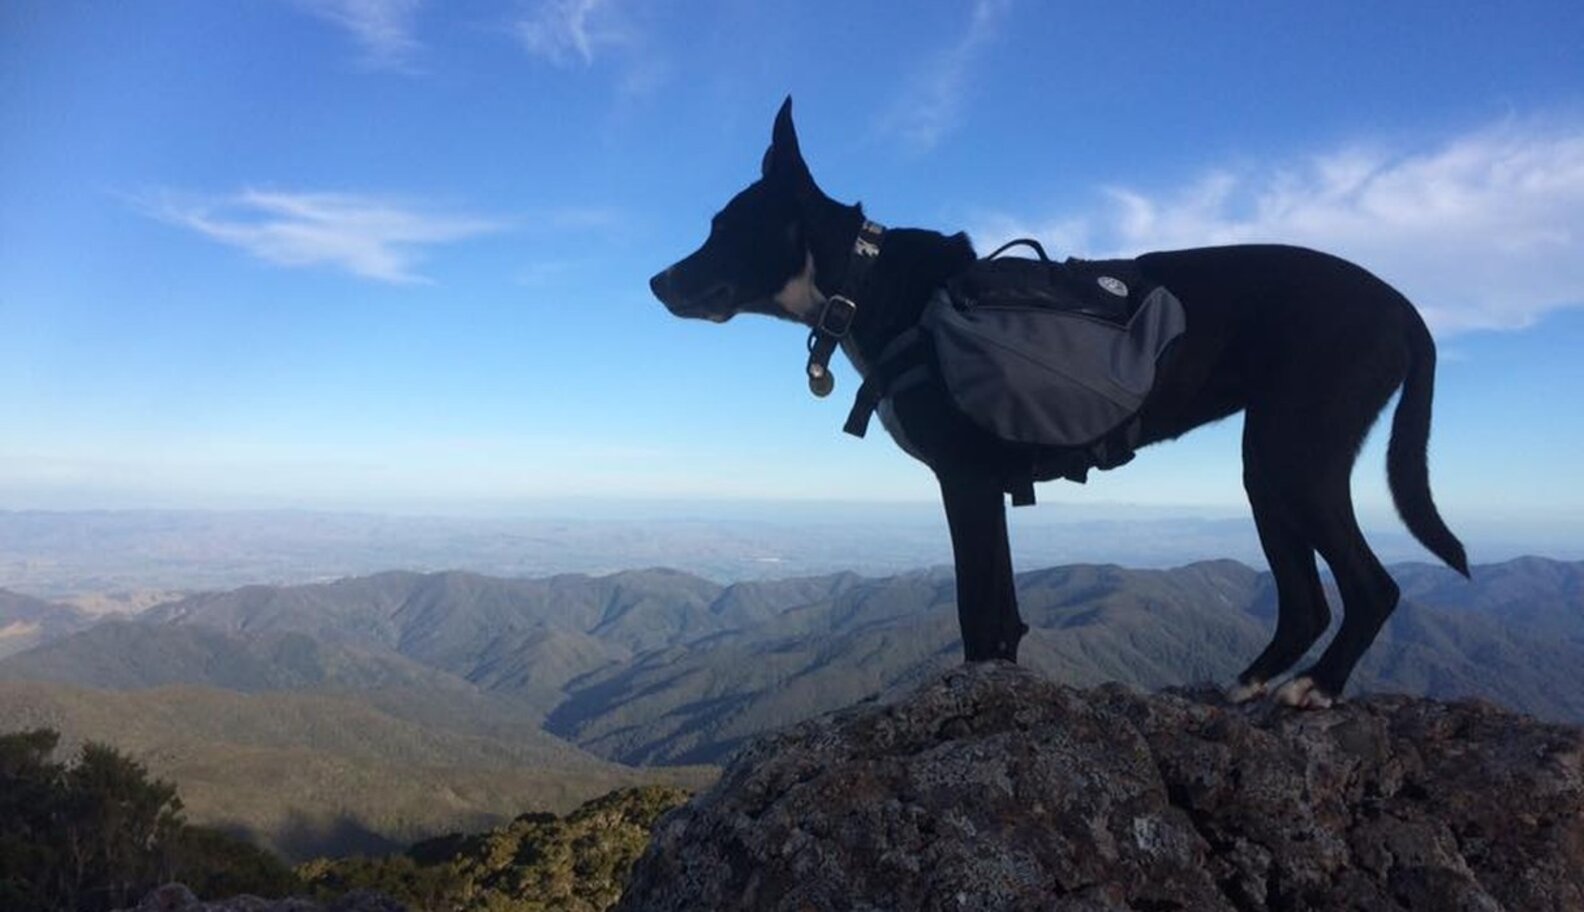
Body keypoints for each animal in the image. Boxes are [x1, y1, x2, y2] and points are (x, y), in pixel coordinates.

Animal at [649, 98, 1469, 708]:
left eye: (724, 229)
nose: (656, 281)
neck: (869, 280)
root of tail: (1402, 307)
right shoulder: (987, 486)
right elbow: (1003, 612)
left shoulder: (966, 483)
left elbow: (975, 608)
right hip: (1268, 466)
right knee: (1306, 601)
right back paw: (1250, 684)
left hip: (1295, 456)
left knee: (1372, 587)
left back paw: (1318, 689)